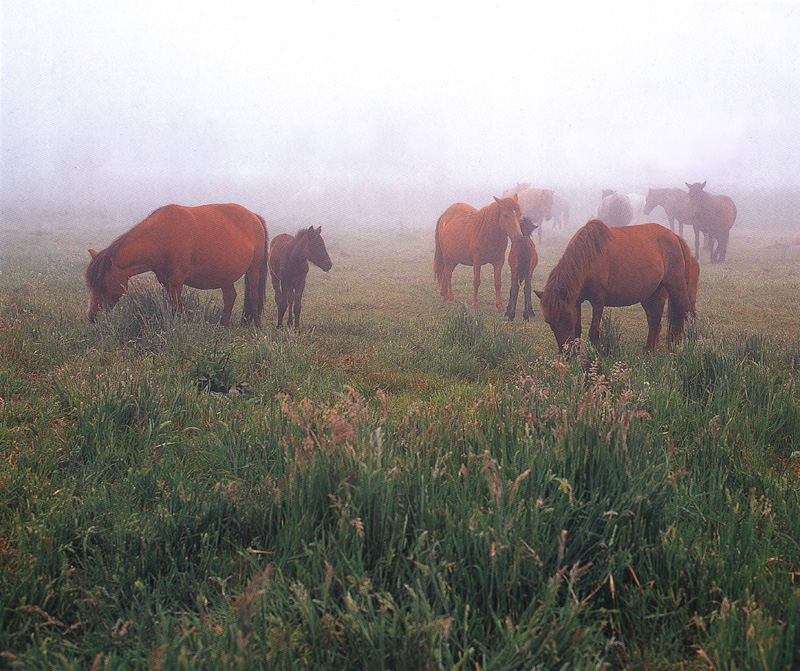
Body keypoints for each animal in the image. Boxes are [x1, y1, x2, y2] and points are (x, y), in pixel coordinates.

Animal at [85, 203, 268, 326]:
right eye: (91, 285)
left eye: (103, 285)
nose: (92, 318)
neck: (163, 235)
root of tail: (254, 216)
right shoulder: (165, 281)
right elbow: (171, 304)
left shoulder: (177, 280)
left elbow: (177, 306)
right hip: (225, 275)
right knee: (230, 297)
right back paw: (223, 325)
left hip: (253, 270)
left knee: (254, 295)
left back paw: (256, 326)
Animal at [536, 222, 696, 356]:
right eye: (549, 322)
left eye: (566, 317)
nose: (565, 353)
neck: (590, 257)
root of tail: (675, 237)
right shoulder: (576, 301)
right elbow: (578, 330)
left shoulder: (598, 300)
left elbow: (593, 332)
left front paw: (593, 358)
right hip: (651, 295)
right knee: (655, 321)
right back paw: (649, 351)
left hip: (676, 286)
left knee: (686, 312)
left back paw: (684, 348)